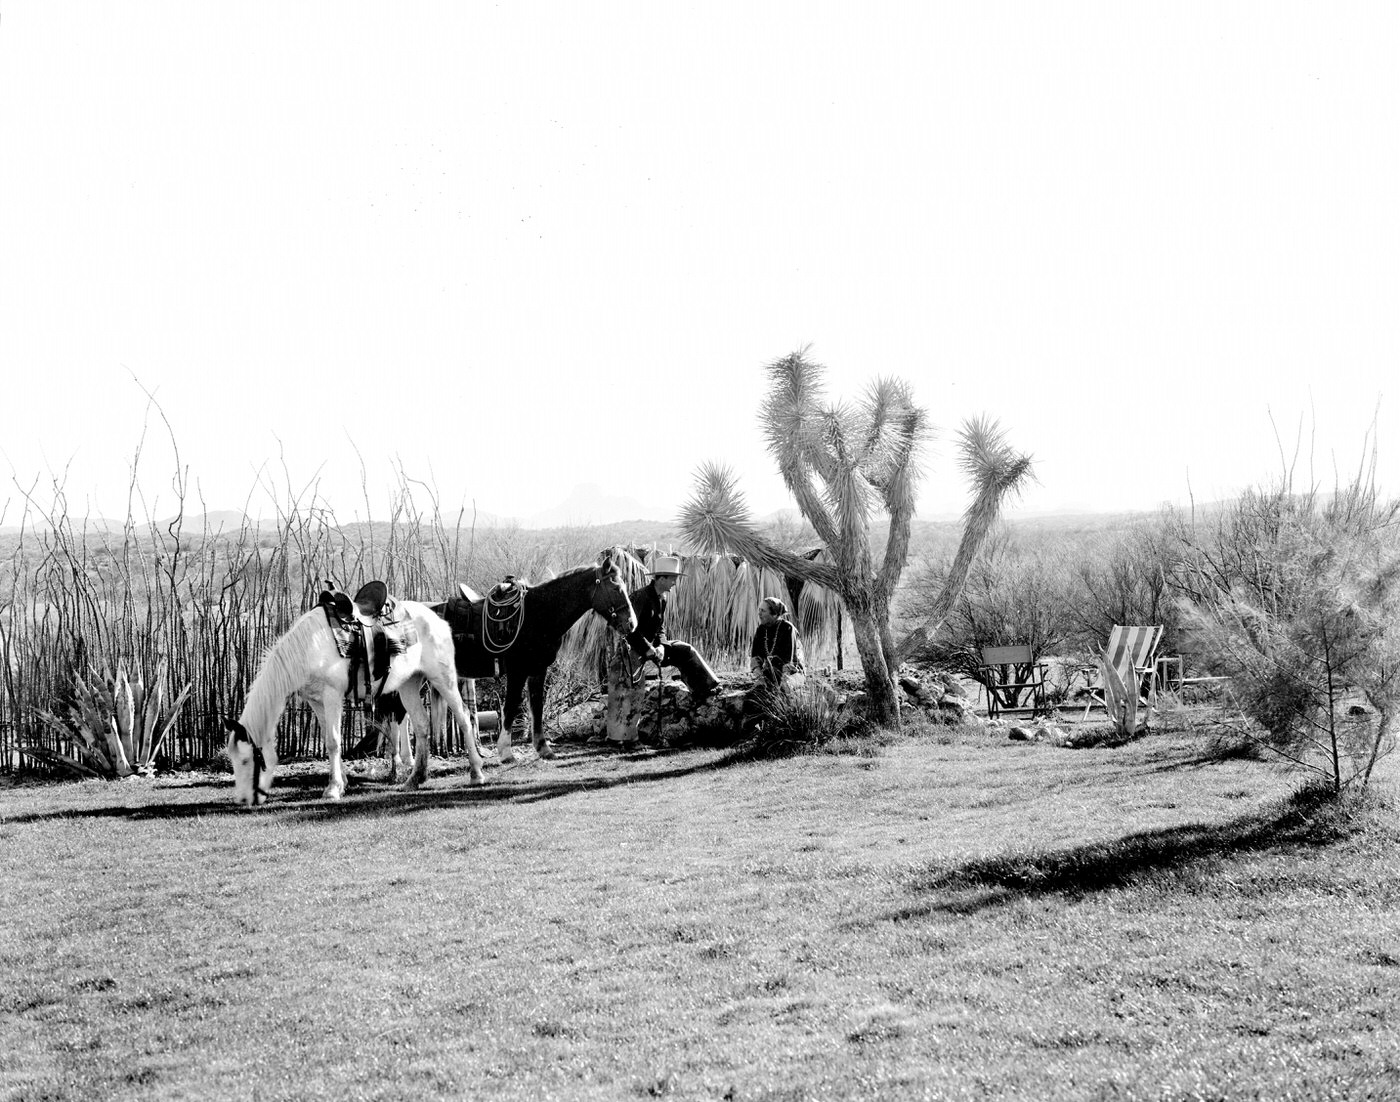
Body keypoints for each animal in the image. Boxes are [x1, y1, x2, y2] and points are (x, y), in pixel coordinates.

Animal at [219, 599, 481, 806]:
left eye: (246, 760)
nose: (243, 800)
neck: (308, 650)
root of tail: (438, 619)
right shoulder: (316, 701)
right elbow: (328, 739)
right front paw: (342, 782)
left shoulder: (332, 696)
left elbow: (334, 741)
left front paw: (333, 789)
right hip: (409, 684)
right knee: (421, 725)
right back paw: (415, 779)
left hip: (443, 678)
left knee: (464, 718)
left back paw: (476, 773)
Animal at [439, 548, 638, 761]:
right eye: (616, 588)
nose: (631, 624)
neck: (537, 614)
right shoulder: (518, 671)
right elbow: (511, 707)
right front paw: (506, 752)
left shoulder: (537, 670)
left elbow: (537, 706)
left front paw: (543, 748)